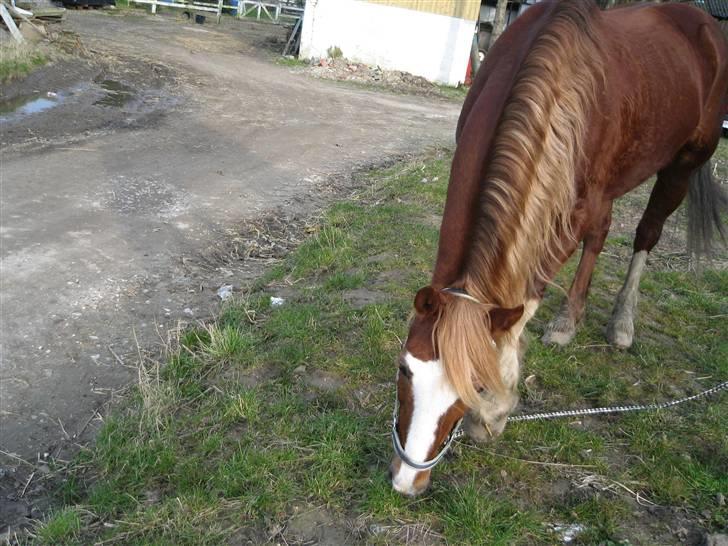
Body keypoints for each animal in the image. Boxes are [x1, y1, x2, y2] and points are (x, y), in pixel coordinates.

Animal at [392, 0, 728, 492]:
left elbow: (524, 300)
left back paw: (620, 323)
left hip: (681, 168)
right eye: (405, 369)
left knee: (645, 234)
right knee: (603, 235)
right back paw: (571, 320)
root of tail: (703, 24)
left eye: (474, 388)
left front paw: (494, 411)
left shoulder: (572, 216)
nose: (406, 480)